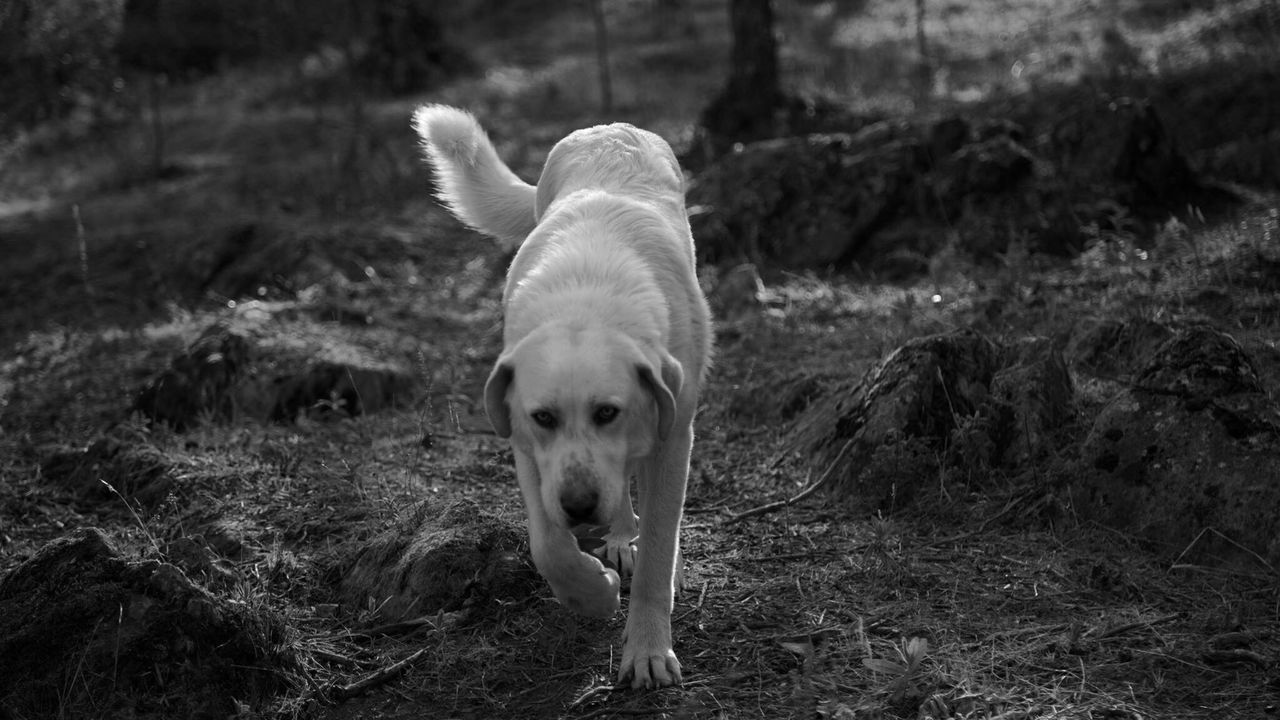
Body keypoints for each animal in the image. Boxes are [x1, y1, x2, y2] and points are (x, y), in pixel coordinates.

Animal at [409, 105, 711, 681]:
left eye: (608, 412)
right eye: (543, 417)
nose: (578, 505)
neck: (586, 300)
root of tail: (608, 128)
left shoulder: (673, 435)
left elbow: (659, 546)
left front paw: (647, 650)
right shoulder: (528, 448)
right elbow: (548, 545)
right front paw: (593, 593)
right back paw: (616, 538)